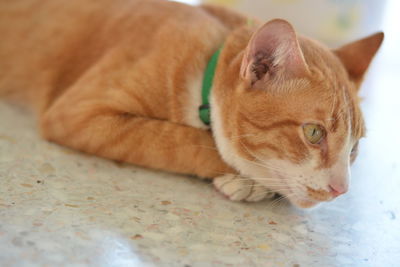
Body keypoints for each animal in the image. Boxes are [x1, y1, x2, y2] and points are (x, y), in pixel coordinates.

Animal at [0, 0, 384, 209]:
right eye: (314, 133)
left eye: (354, 149)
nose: (341, 190)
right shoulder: (81, 114)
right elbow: (183, 139)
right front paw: (250, 179)